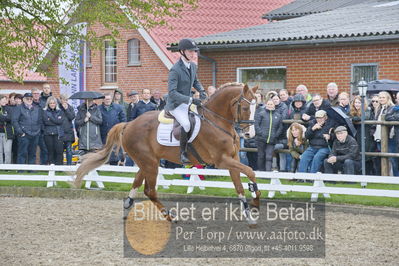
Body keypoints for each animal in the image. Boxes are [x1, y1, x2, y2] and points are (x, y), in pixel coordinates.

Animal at [75, 82, 262, 222]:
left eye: (256, 108)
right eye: (246, 108)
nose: (249, 134)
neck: (217, 121)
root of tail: (129, 124)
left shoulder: (233, 158)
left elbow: (239, 185)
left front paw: (249, 214)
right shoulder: (221, 160)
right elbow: (251, 171)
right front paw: (255, 195)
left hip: (147, 162)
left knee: (137, 183)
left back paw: (128, 206)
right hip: (150, 163)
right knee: (150, 191)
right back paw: (171, 216)